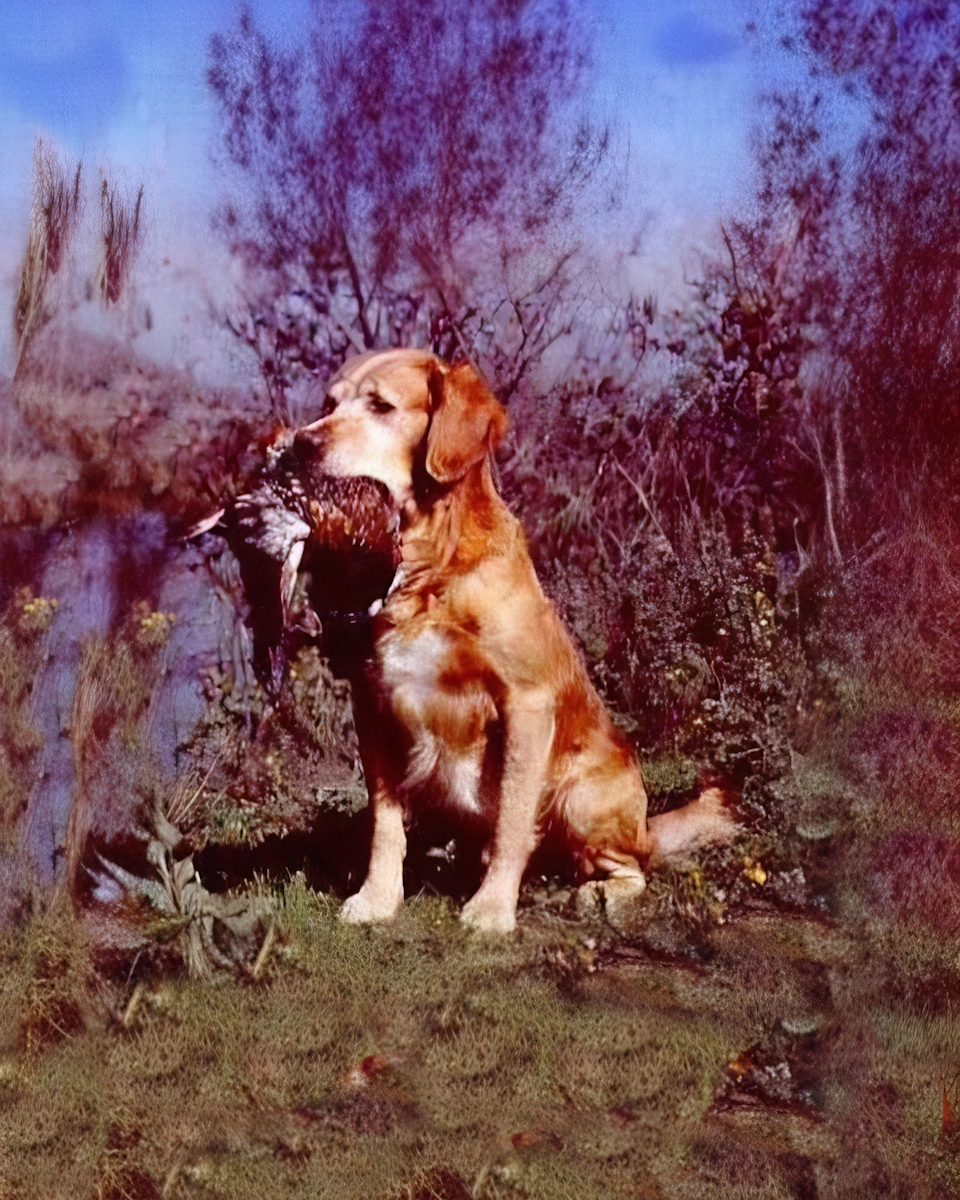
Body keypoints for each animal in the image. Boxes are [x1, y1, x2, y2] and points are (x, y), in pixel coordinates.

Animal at [294, 348, 736, 933]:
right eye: (327, 404)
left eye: (381, 406)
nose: (300, 444)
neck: (429, 568)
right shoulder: (372, 702)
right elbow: (385, 824)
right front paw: (377, 899)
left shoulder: (525, 704)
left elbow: (512, 817)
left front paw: (491, 909)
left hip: (584, 795)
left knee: (632, 867)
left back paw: (595, 892)